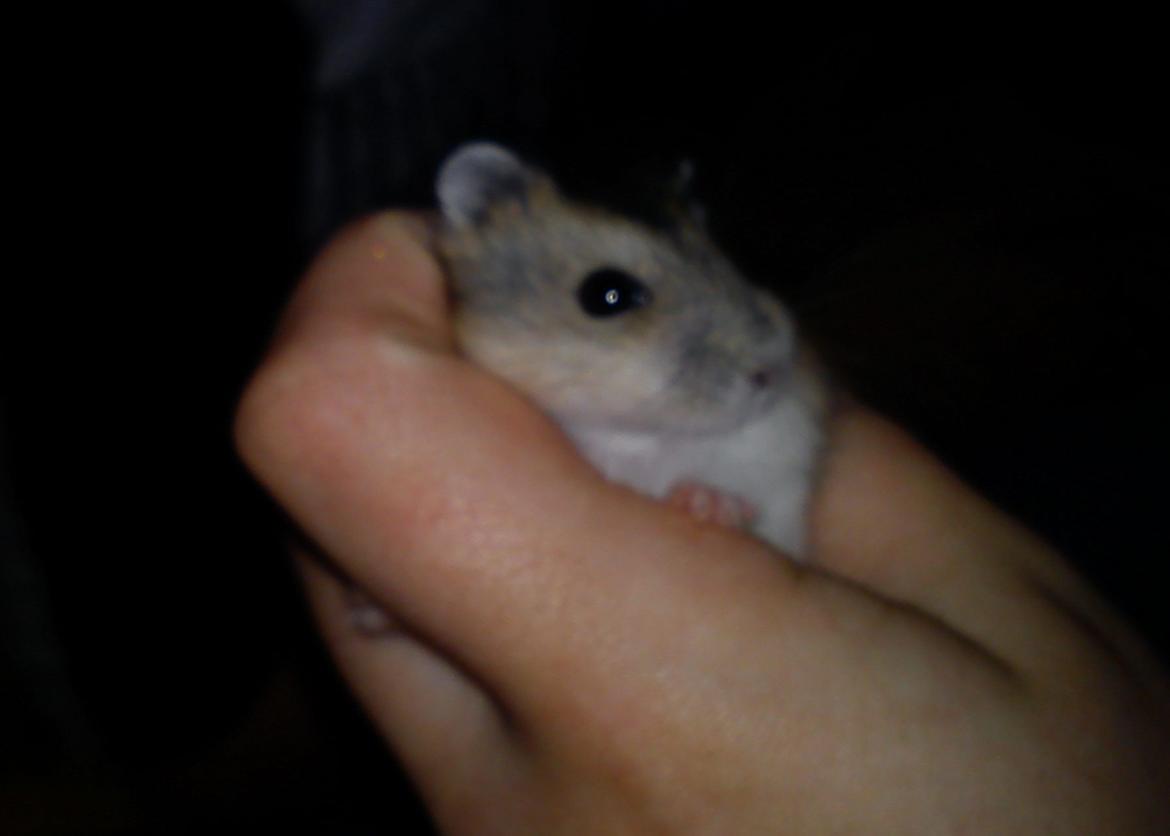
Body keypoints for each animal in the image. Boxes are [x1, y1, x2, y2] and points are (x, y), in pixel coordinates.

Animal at [435, 143, 829, 558]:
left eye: (719, 254)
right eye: (607, 293)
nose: (770, 373)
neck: (647, 438)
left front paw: (716, 504)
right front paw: (703, 501)